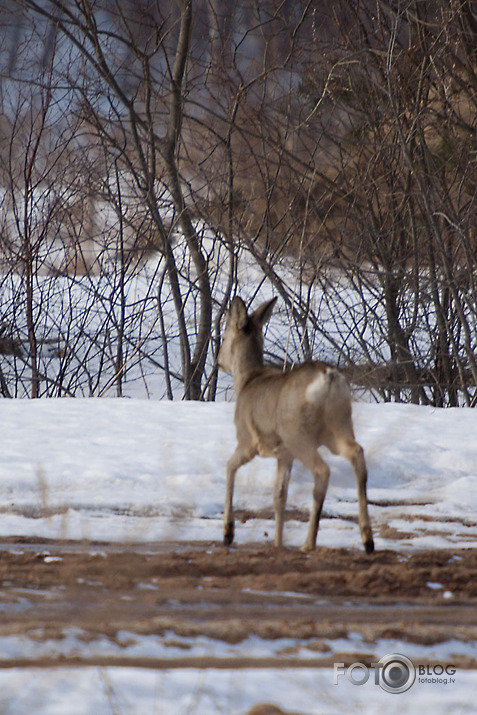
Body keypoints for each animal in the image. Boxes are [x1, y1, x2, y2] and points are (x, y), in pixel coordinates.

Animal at [218, 296, 374, 552]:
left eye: (223, 336)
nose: (218, 361)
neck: (247, 381)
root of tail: (329, 377)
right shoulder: (284, 454)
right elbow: (279, 496)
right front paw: (278, 543)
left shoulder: (247, 440)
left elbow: (230, 467)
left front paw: (228, 533)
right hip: (339, 424)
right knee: (357, 454)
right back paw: (367, 540)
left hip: (297, 433)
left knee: (322, 470)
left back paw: (309, 543)